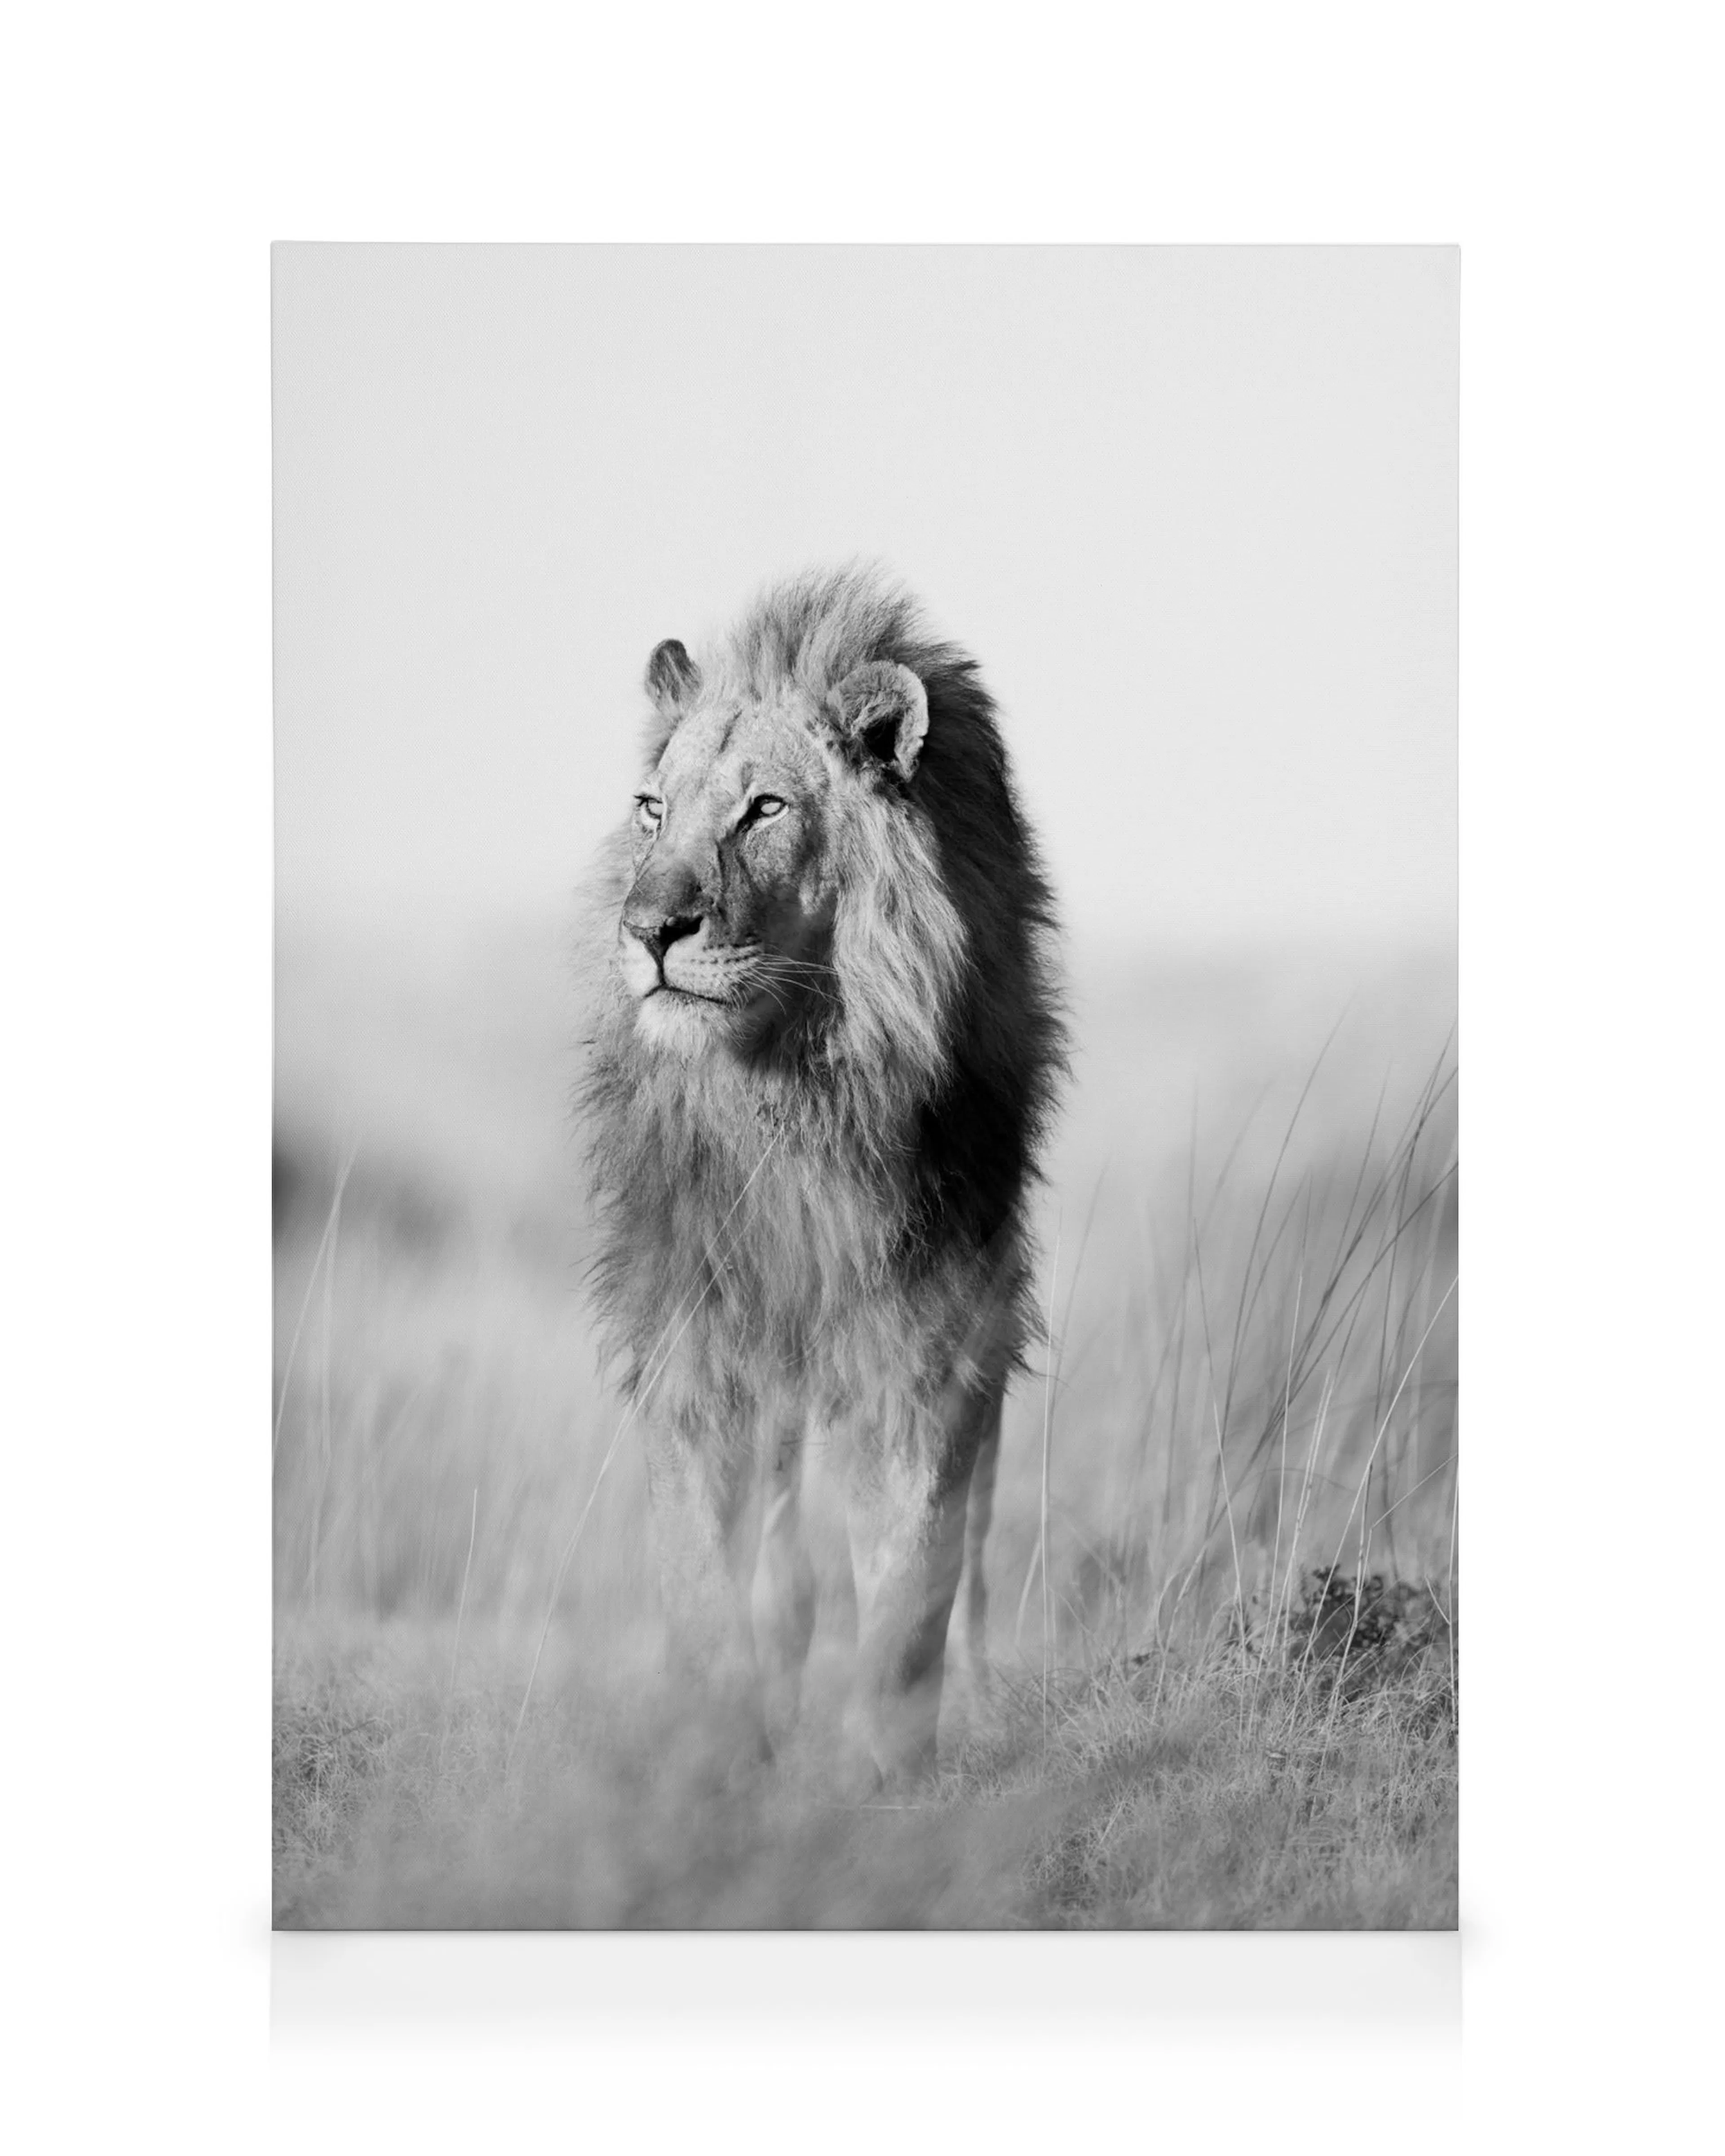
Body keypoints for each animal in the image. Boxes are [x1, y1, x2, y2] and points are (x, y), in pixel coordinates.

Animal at [579, 565, 1064, 1787]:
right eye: (652, 809)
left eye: (764, 809)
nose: (650, 929)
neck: (790, 1089)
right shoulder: (691, 1336)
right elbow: (706, 1579)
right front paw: (719, 1759)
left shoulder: (932, 1335)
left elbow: (911, 1584)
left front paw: (882, 1769)